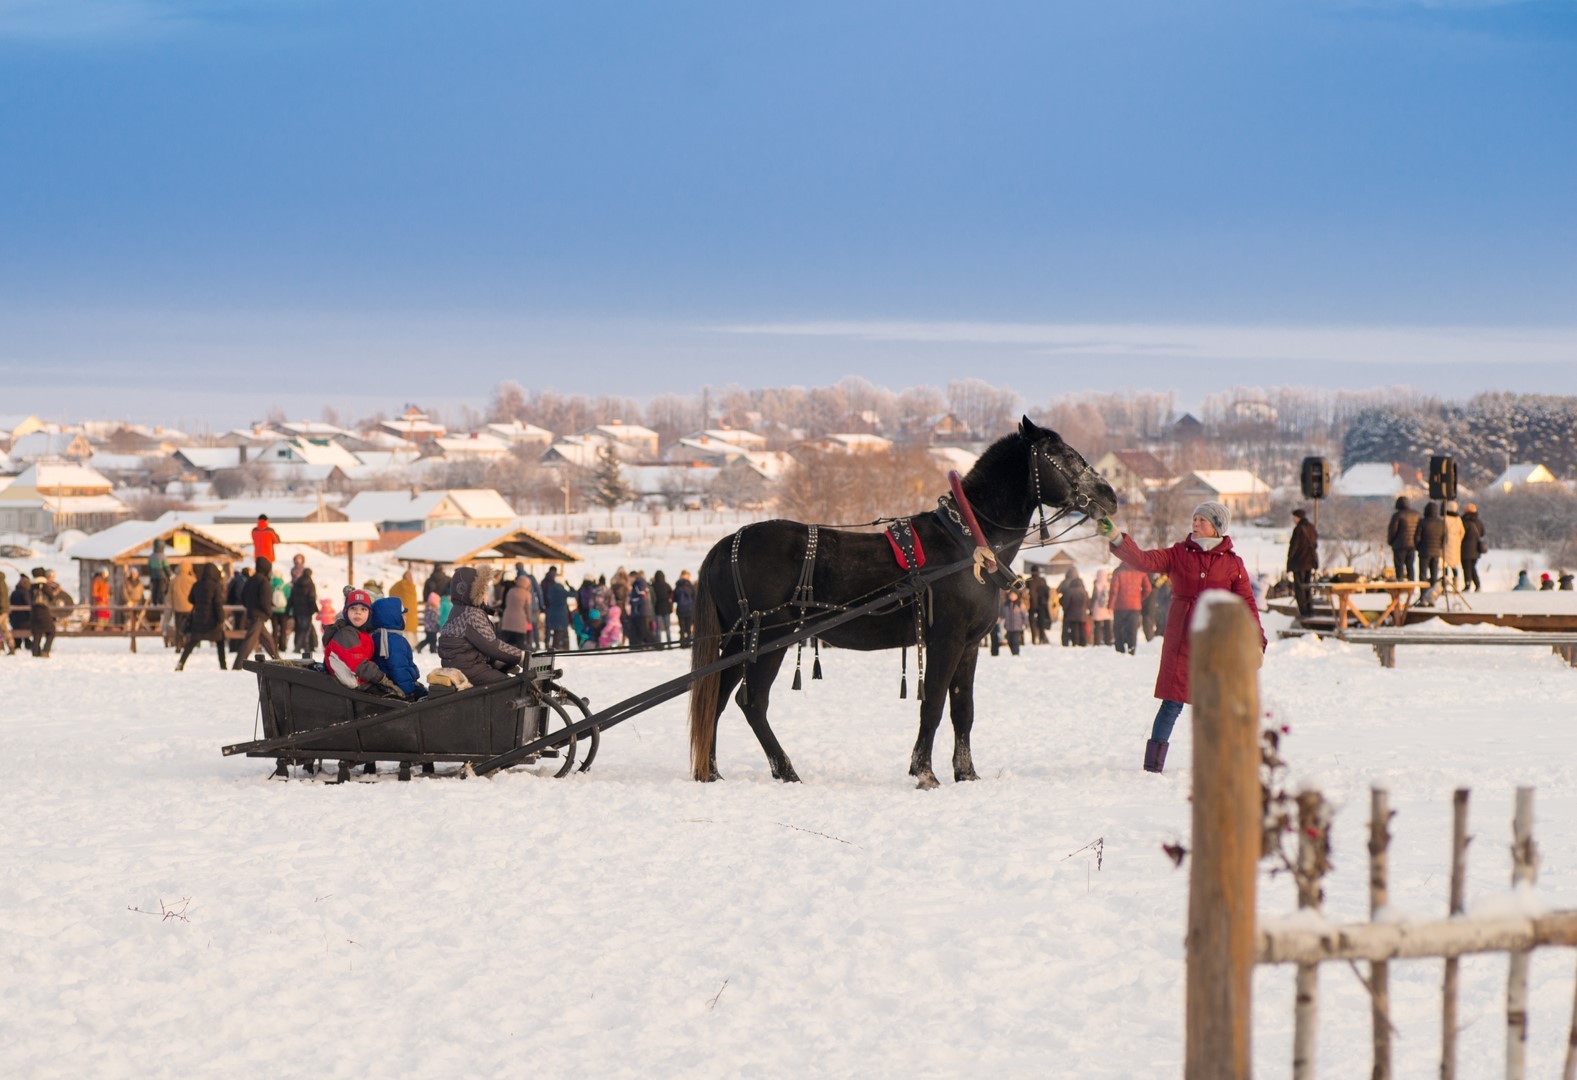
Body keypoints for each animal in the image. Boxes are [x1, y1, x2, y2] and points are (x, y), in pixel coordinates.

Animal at [684, 416, 1116, 788]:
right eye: (1062, 455)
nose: (1110, 496)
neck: (968, 544)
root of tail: (729, 542)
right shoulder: (945, 640)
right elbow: (934, 704)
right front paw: (925, 772)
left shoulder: (970, 645)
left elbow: (963, 710)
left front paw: (966, 773)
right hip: (768, 640)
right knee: (752, 702)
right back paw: (784, 770)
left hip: (739, 643)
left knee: (716, 699)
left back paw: (711, 771)